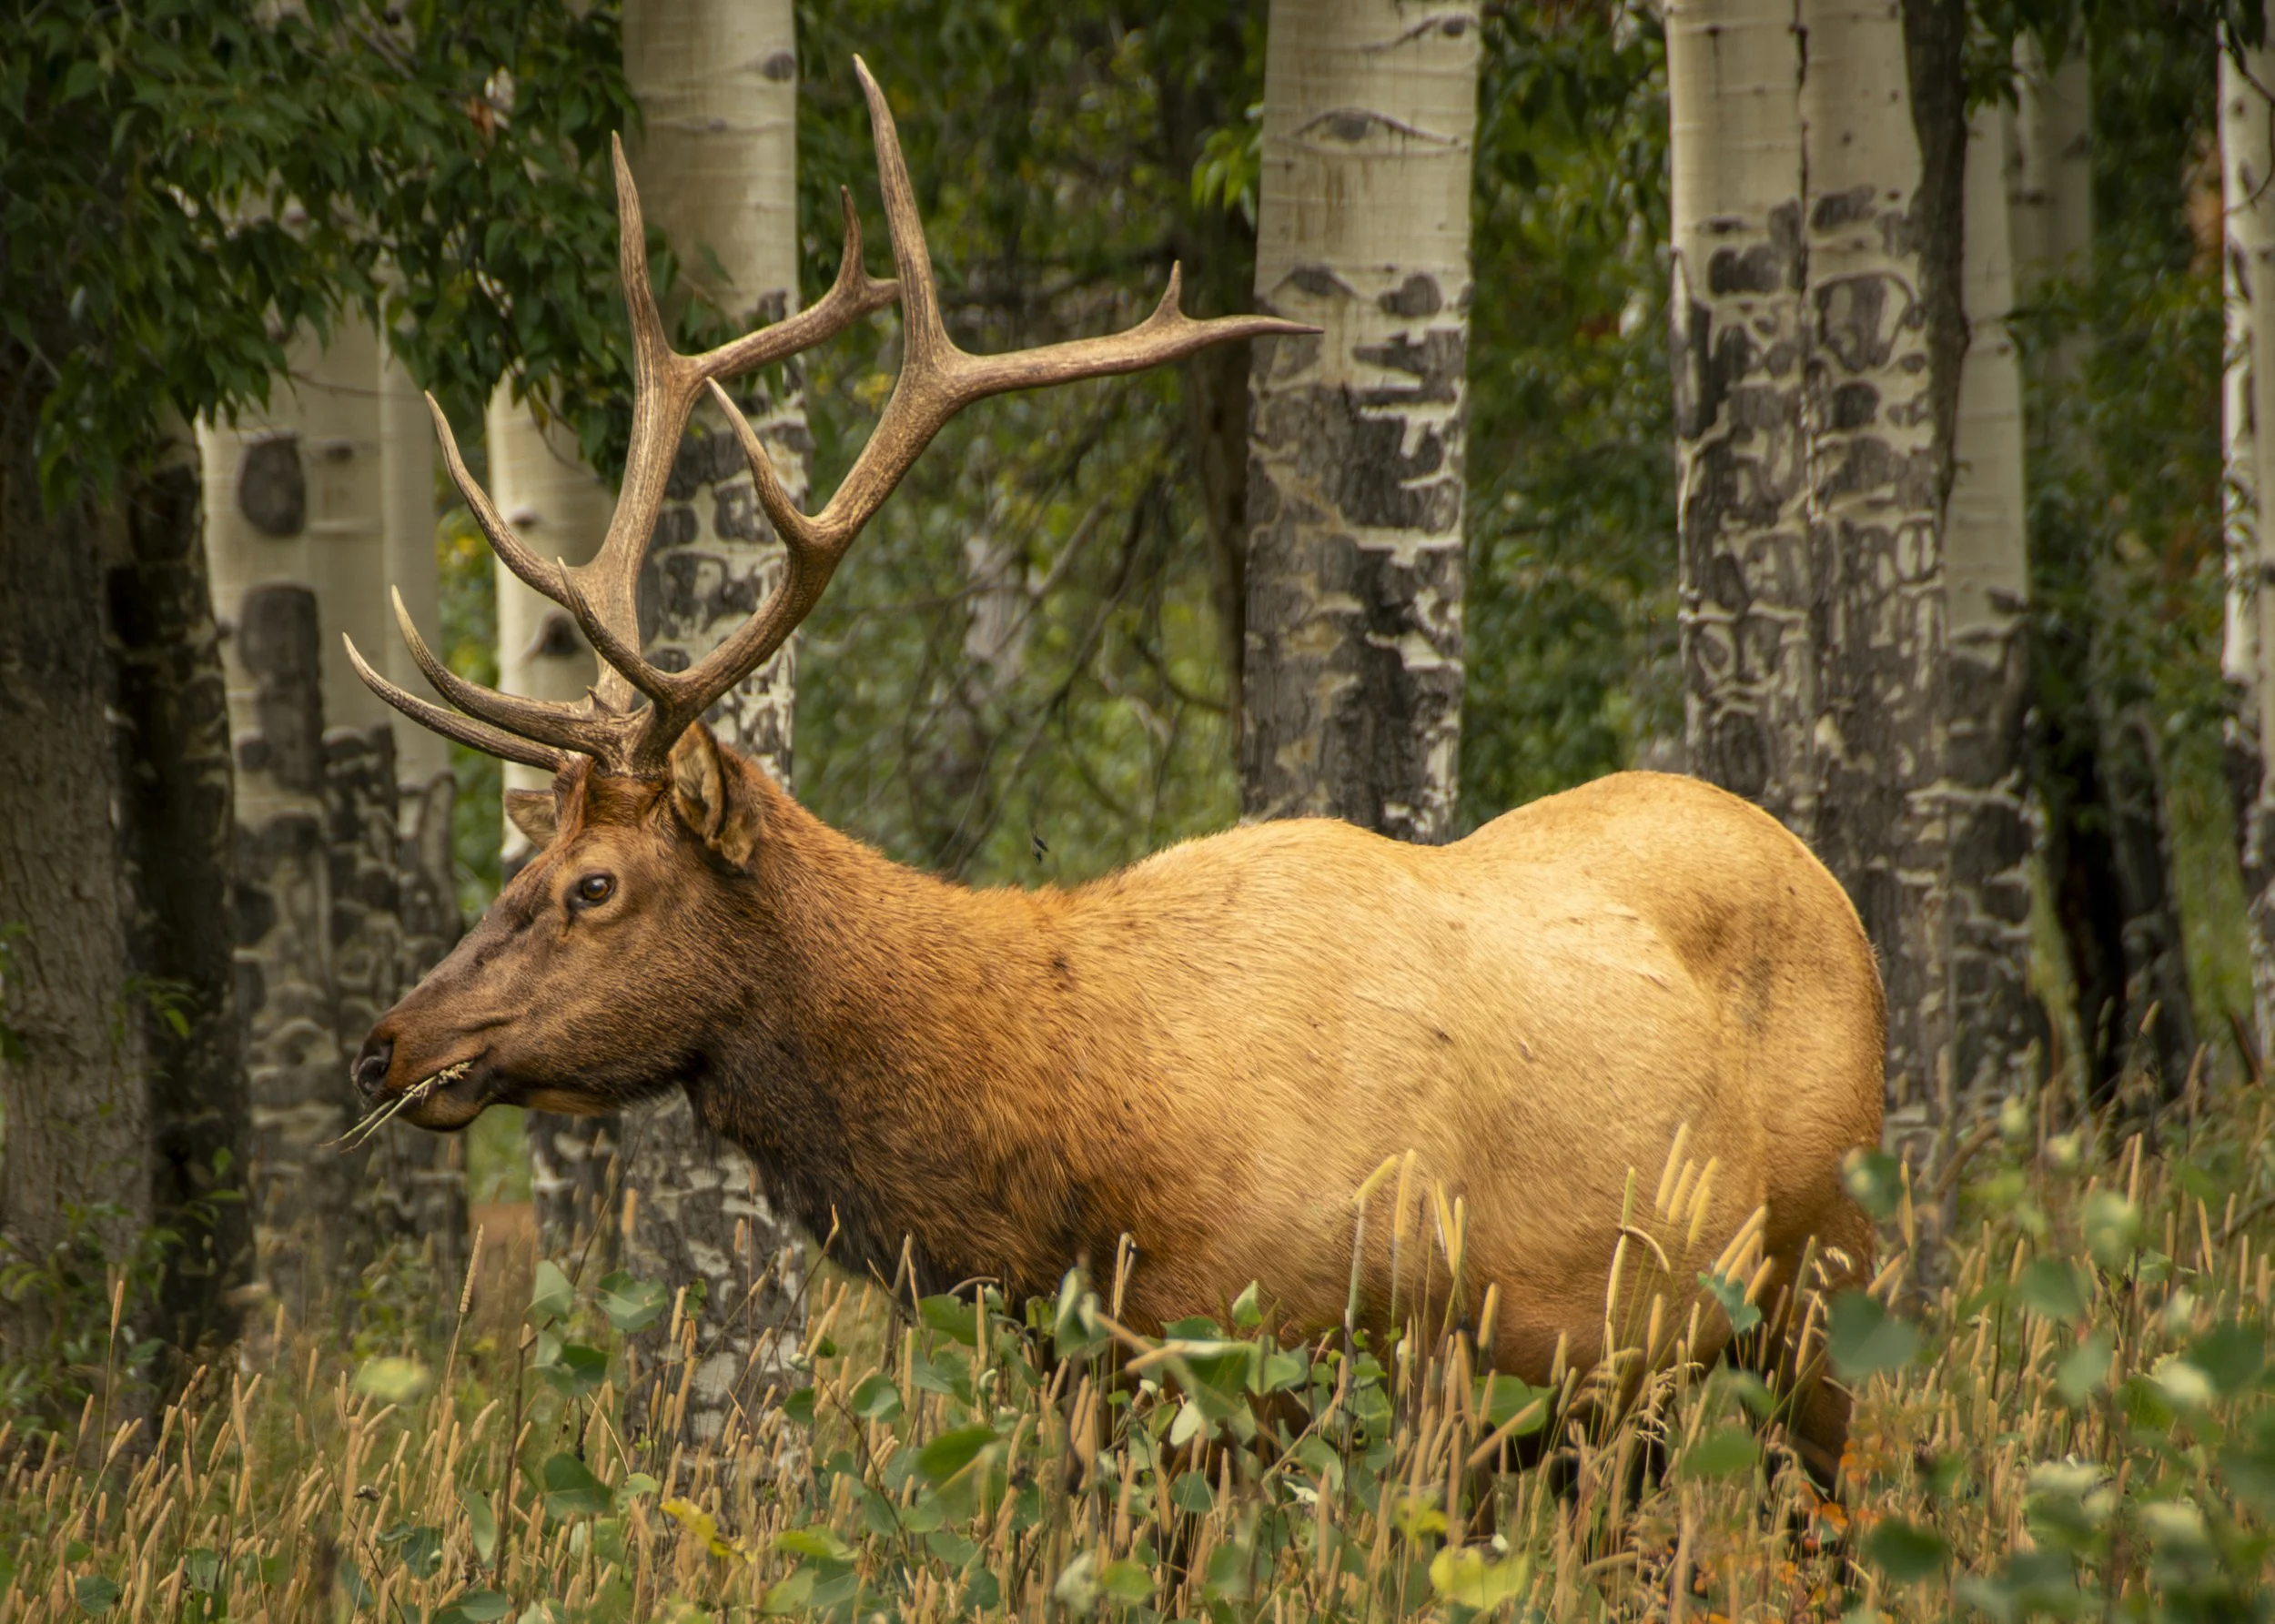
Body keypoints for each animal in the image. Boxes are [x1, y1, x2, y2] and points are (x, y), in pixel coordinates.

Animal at [348, 60, 1886, 1489]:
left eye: (593, 885)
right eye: (530, 860)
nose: (392, 1042)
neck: (1077, 1163)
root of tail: (1828, 882)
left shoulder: (1327, 1345)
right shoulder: (1105, 1371)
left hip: (1826, 1268)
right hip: (1626, 1387)